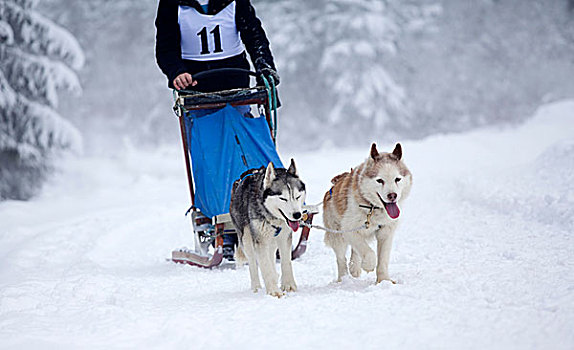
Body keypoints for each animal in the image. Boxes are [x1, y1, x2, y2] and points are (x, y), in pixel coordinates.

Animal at [230, 160, 306, 296]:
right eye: (283, 198)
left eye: (297, 196)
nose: (297, 215)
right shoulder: (260, 240)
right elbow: (264, 266)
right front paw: (273, 291)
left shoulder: (284, 238)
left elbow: (286, 262)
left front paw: (288, 285)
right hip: (247, 239)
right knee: (253, 263)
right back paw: (256, 287)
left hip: (272, 241)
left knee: (270, 257)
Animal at [324, 144, 414, 284]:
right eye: (380, 180)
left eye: (397, 179)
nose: (392, 195)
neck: (372, 207)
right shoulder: (348, 228)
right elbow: (369, 252)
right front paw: (368, 264)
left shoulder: (386, 231)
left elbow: (383, 259)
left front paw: (383, 280)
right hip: (337, 234)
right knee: (341, 258)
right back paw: (343, 278)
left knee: (354, 250)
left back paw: (354, 267)